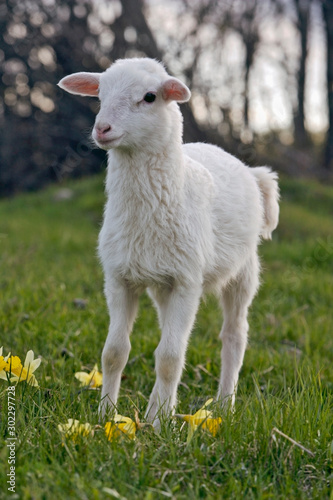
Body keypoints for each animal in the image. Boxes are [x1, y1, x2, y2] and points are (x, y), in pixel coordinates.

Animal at [57, 58, 278, 426]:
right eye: (100, 94)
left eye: (149, 97)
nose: (102, 129)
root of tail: (249, 169)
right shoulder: (119, 278)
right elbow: (114, 353)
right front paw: (107, 416)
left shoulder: (187, 282)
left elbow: (170, 358)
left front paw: (158, 425)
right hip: (162, 282)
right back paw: (168, 405)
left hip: (243, 270)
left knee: (234, 336)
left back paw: (223, 405)